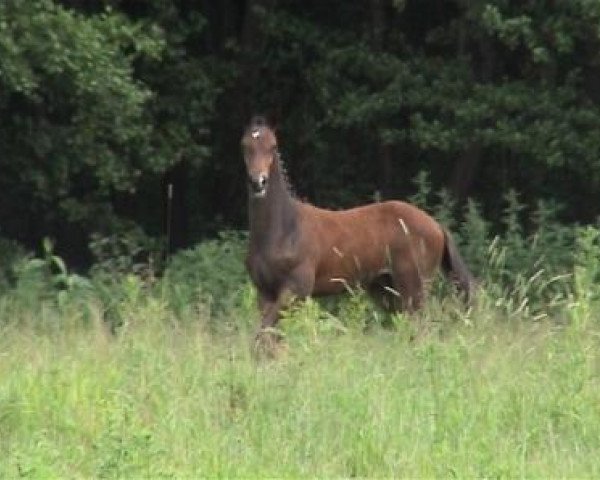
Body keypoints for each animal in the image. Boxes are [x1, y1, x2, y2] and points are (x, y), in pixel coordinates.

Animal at [241, 116, 476, 342]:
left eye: (273, 146)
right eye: (245, 146)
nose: (258, 182)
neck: (284, 230)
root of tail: (437, 225)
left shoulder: (295, 290)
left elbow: (264, 335)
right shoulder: (265, 293)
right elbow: (269, 340)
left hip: (413, 287)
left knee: (422, 329)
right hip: (386, 289)